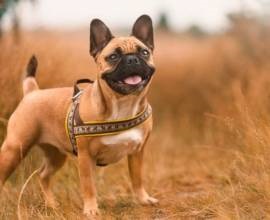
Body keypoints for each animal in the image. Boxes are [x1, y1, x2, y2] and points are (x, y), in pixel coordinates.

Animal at [0, 14, 158, 217]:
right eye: (113, 56)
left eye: (144, 52)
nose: (132, 59)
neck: (122, 104)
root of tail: (32, 92)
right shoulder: (85, 157)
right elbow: (88, 186)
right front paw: (91, 210)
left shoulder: (137, 152)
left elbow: (137, 179)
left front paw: (143, 199)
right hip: (15, 147)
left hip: (56, 154)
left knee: (43, 175)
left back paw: (52, 205)